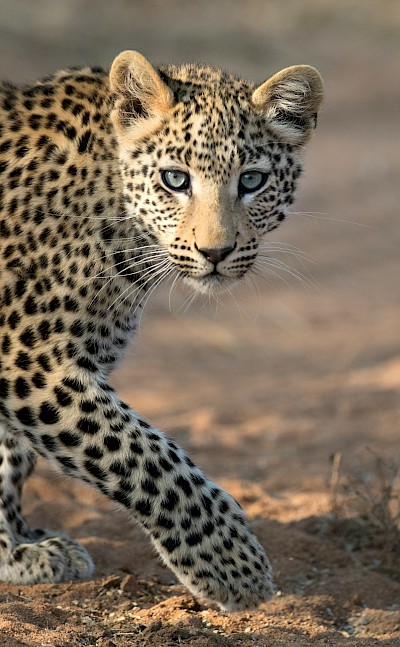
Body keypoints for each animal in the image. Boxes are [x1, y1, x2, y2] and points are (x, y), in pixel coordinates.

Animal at [0, 50, 323, 610]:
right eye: (174, 180)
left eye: (252, 181)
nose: (215, 252)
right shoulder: (29, 357)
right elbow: (145, 456)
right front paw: (233, 566)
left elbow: (8, 457)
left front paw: (15, 550)